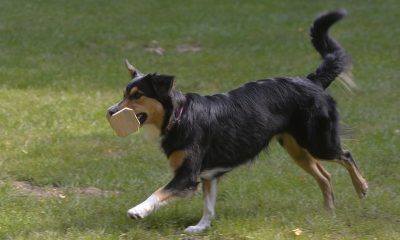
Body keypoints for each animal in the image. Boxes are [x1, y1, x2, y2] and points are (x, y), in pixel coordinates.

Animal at [107, 9, 368, 232]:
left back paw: (362, 187)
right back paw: (329, 213)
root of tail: (312, 81)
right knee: (326, 175)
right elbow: (209, 206)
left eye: (137, 95)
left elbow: (158, 192)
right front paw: (201, 228)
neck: (179, 116)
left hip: (318, 141)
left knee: (346, 155)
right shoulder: (209, 174)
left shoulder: (187, 175)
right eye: (124, 94)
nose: (110, 111)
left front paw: (138, 210)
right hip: (296, 147)